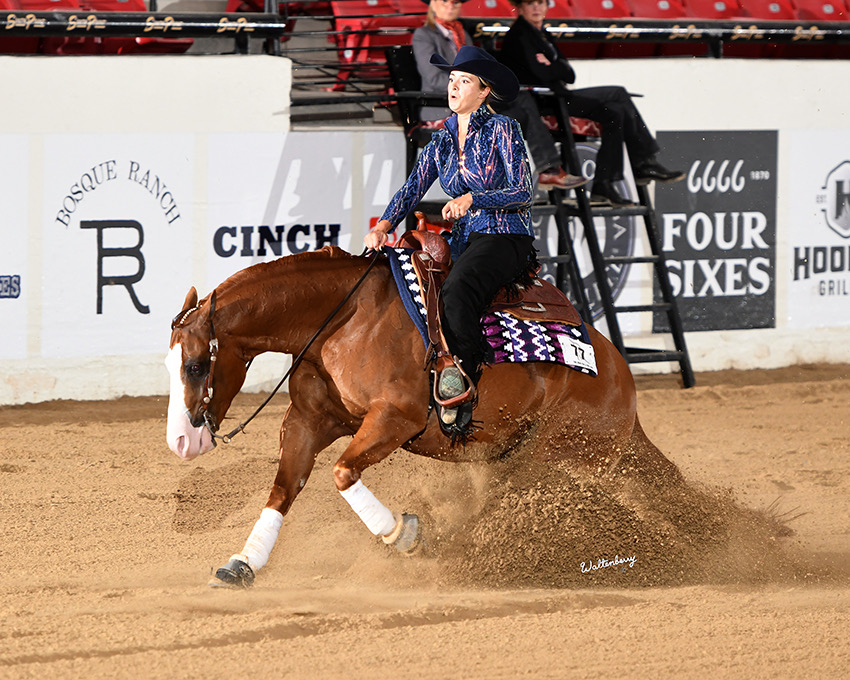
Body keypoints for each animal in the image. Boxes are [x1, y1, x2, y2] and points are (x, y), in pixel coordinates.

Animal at [165, 244, 683, 588]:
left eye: (196, 366)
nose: (181, 443)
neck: (344, 319)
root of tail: (619, 374)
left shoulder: (394, 420)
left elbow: (343, 472)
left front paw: (406, 534)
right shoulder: (308, 420)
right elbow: (283, 489)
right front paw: (243, 563)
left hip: (561, 457)